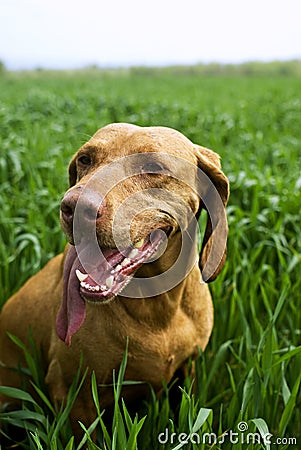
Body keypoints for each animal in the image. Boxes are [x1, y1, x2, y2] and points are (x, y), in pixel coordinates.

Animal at [0, 123, 227, 440]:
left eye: (153, 166)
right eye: (85, 159)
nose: (74, 208)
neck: (157, 307)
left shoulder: (188, 371)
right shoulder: (74, 394)